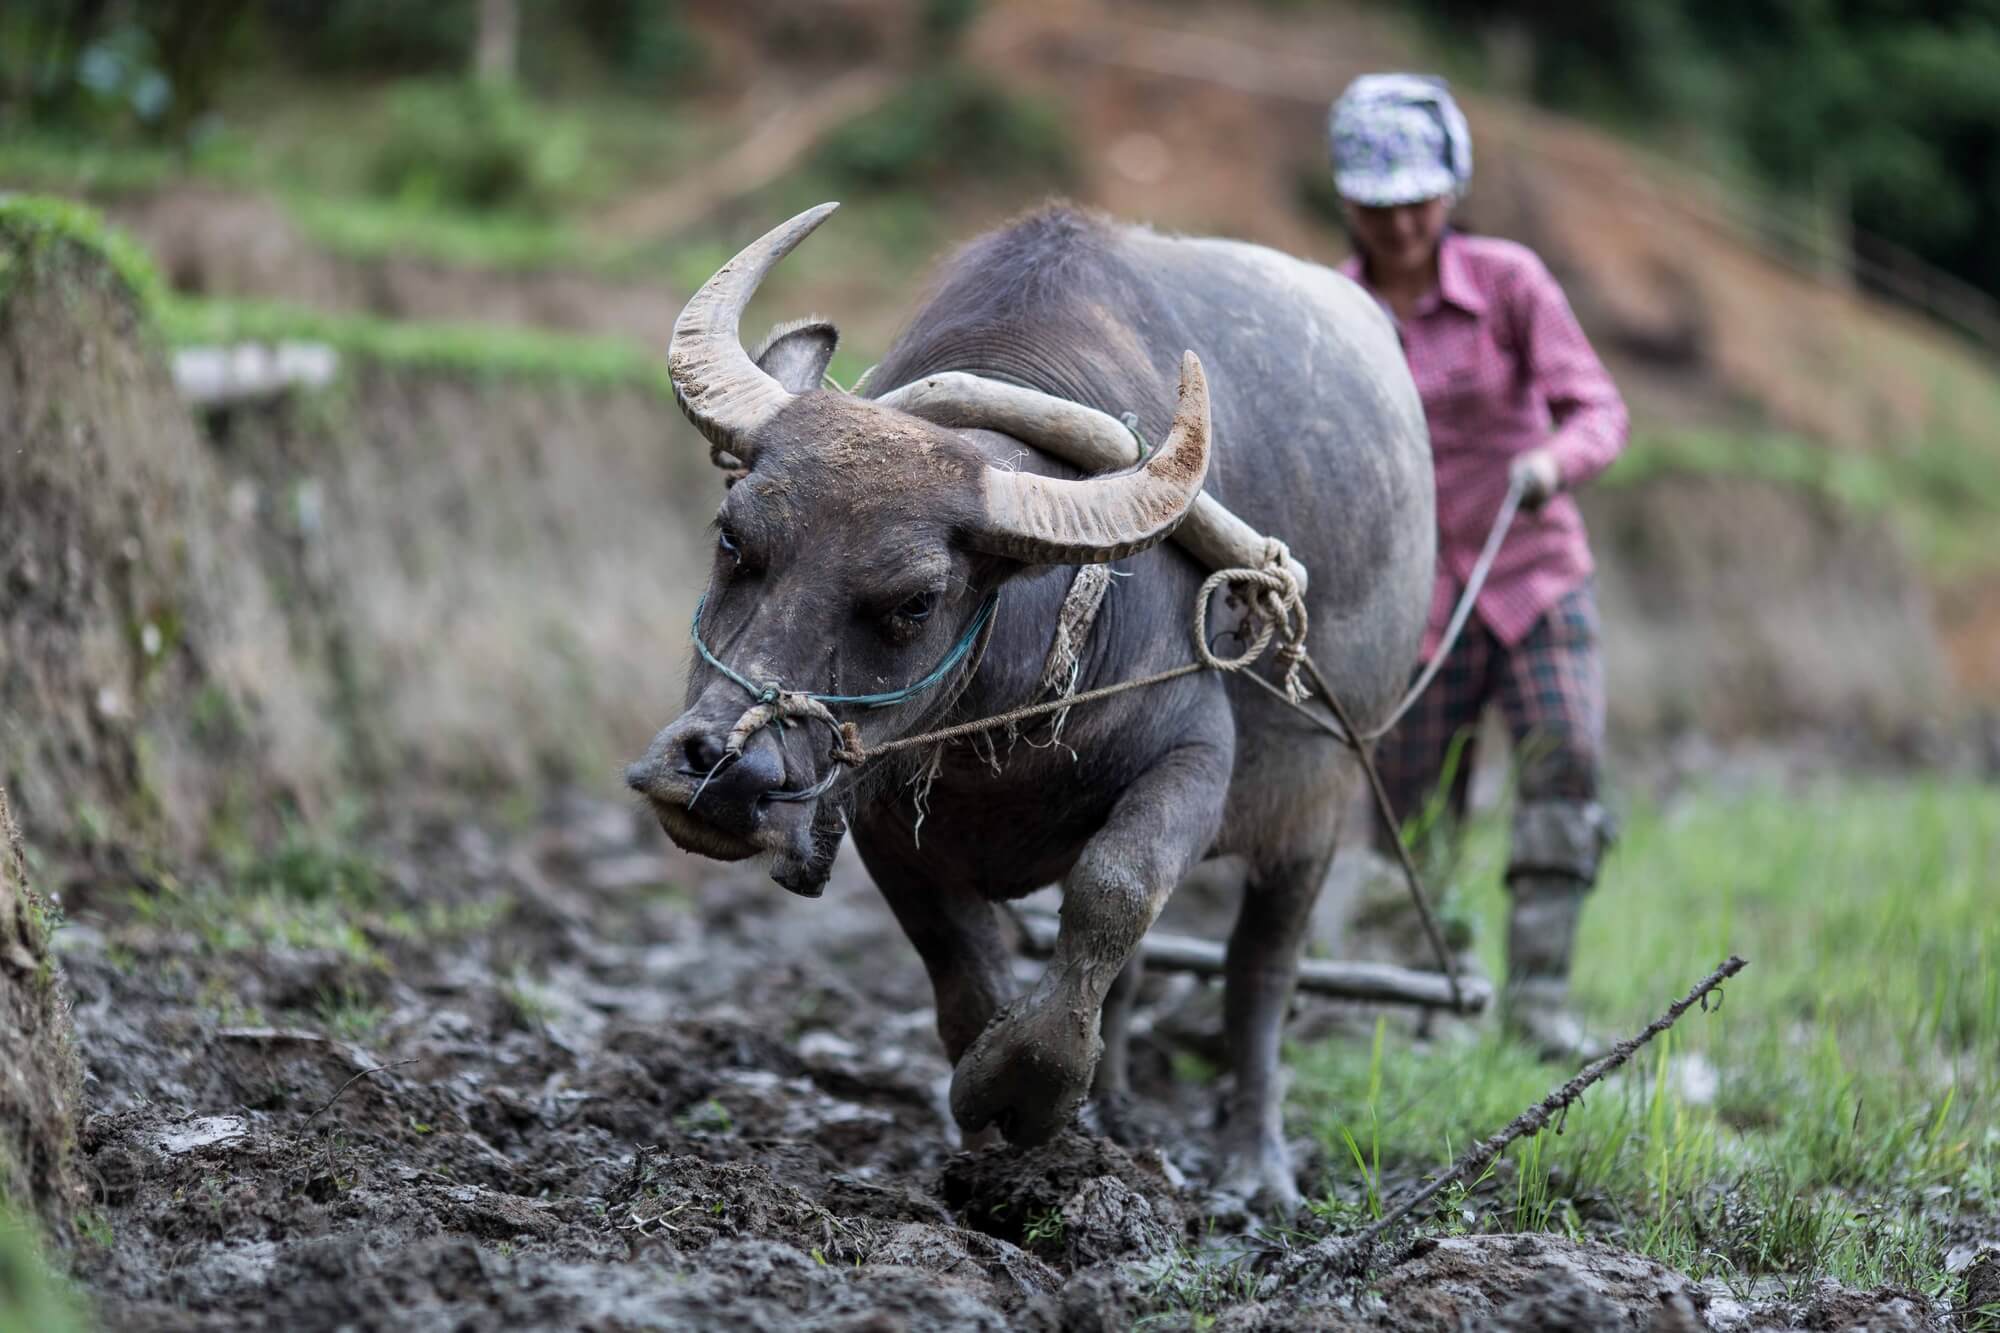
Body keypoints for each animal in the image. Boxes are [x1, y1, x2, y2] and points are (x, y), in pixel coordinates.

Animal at [632, 202, 1432, 1208]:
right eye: (733, 536)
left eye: (916, 601)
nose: (726, 774)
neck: (1005, 716)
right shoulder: (883, 813)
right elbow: (968, 972)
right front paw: (986, 1135)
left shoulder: (1197, 760)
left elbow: (1114, 889)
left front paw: (1032, 1087)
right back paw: (1118, 1109)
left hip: (1321, 804)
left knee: (1261, 969)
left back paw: (1254, 1164)